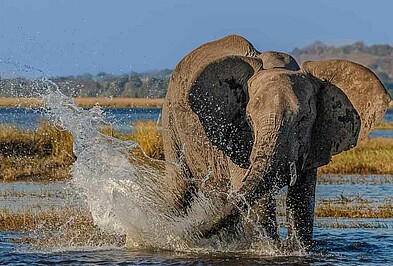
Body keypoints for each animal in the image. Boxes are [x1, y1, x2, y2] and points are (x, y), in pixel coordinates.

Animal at [160, 34, 388, 248]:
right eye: (249, 119)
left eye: (303, 120)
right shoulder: (238, 137)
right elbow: (256, 198)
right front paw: (269, 248)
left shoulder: (314, 140)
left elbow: (303, 199)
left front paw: (298, 248)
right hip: (169, 119)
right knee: (179, 190)